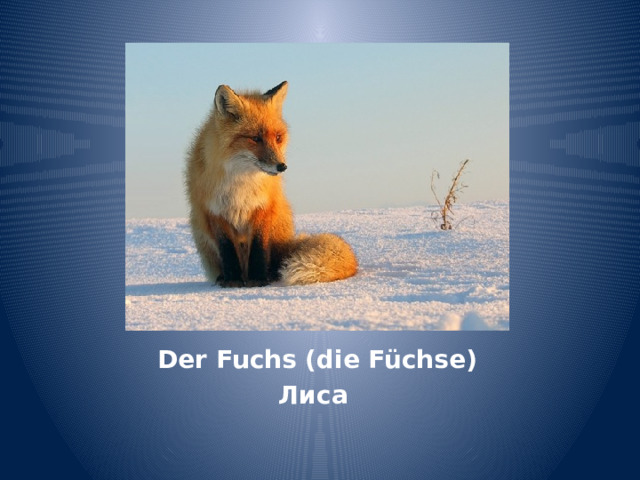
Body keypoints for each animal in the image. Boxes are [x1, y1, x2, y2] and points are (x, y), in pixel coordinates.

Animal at [186, 81, 358, 287]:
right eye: (255, 138)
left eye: (278, 137)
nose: (281, 166)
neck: (241, 182)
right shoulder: (215, 212)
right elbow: (227, 251)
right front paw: (233, 281)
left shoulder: (264, 207)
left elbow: (259, 248)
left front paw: (259, 279)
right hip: (198, 228)